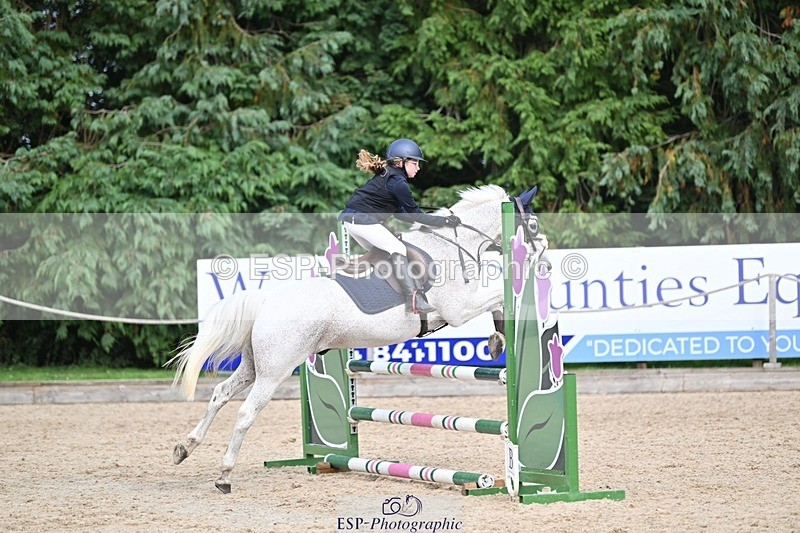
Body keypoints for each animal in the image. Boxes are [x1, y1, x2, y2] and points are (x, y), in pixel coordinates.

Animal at [169, 184, 540, 493]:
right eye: (534, 226)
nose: (543, 253)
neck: (450, 245)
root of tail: (266, 300)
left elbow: (496, 299)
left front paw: (496, 340)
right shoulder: (459, 309)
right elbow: (497, 297)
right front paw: (498, 338)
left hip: (253, 365)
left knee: (220, 394)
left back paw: (184, 448)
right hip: (275, 369)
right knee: (246, 411)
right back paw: (224, 475)